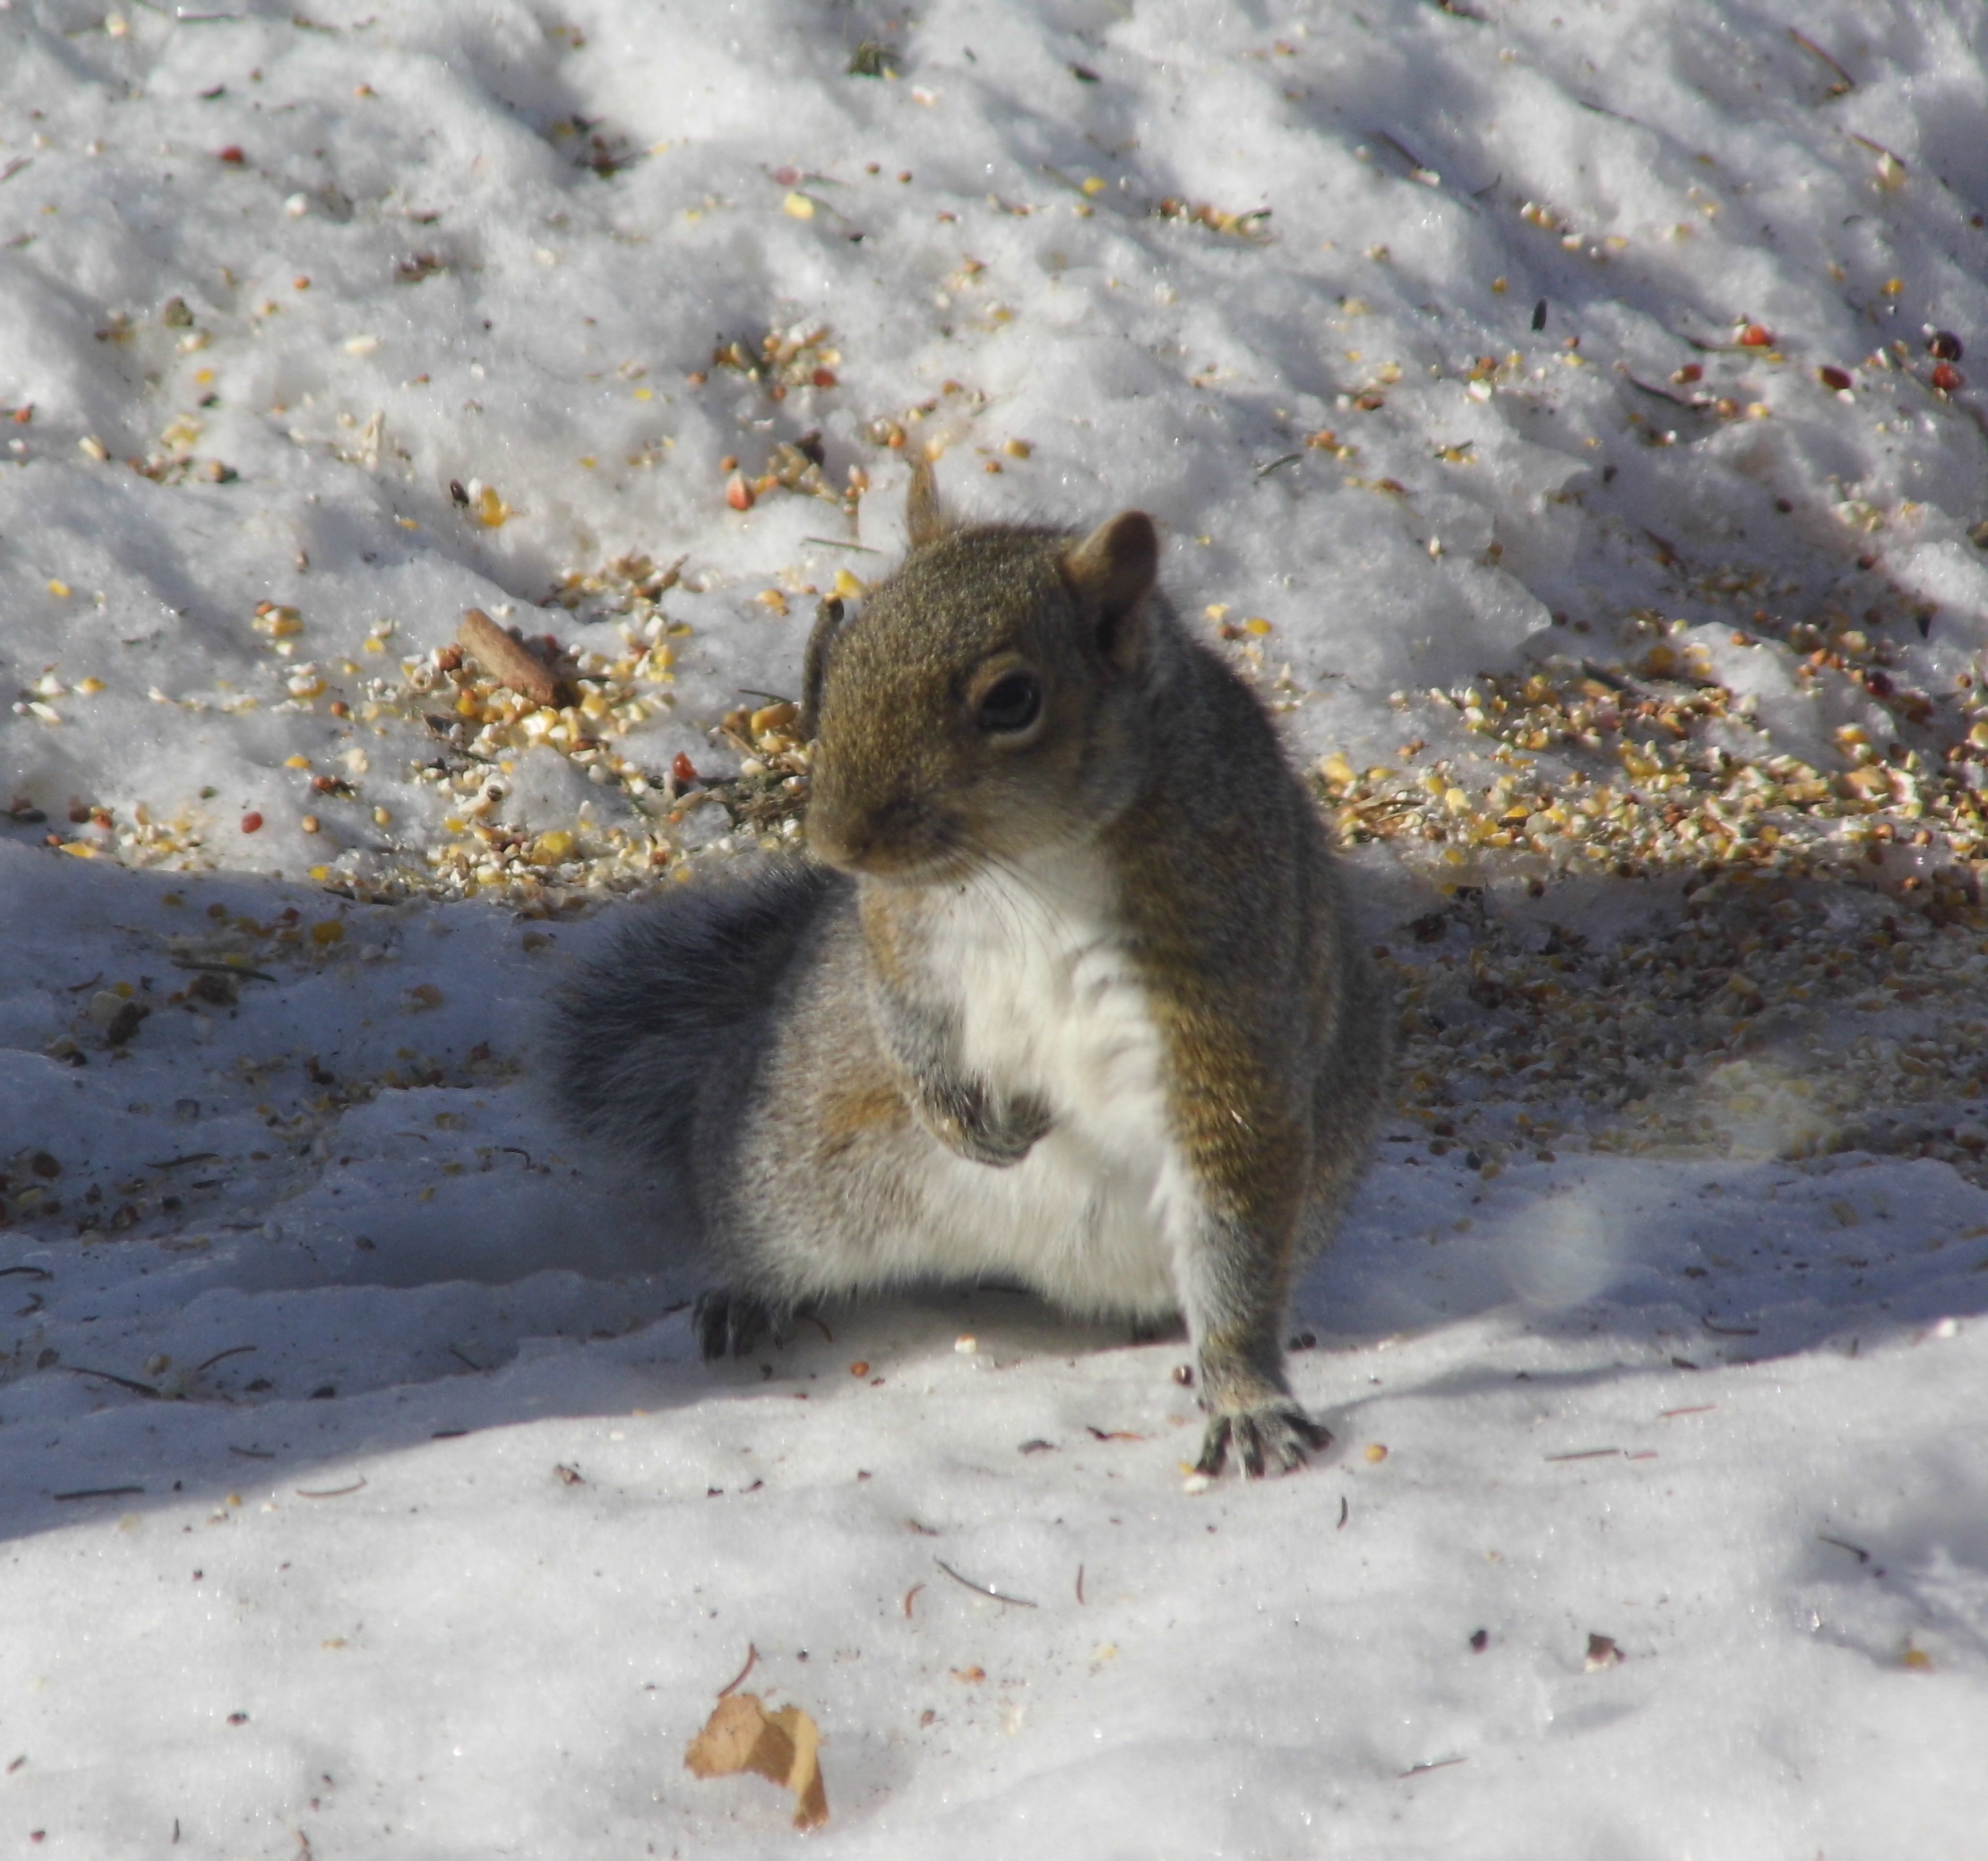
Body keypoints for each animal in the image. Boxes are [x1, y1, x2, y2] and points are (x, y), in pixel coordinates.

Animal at [553, 465, 1391, 1479]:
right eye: (846, 648)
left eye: (1010, 701)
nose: (837, 843)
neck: (1029, 869)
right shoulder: (897, 922)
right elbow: (902, 1004)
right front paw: (958, 1115)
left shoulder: (1227, 983)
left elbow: (1235, 1201)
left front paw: (1246, 1398)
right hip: (788, 1164)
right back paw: (746, 1294)